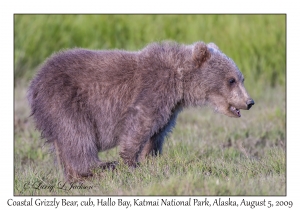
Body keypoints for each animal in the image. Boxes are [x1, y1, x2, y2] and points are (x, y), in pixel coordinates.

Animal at [27, 41, 253, 180]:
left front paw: (152, 158)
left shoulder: (171, 107)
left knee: (63, 142)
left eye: (241, 78)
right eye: (231, 80)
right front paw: (129, 162)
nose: (249, 101)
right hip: (65, 99)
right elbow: (140, 123)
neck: (180, 81)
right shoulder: (154, 88)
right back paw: (99, 166)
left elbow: (158, 131)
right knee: (77, 135)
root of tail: (35, 81)